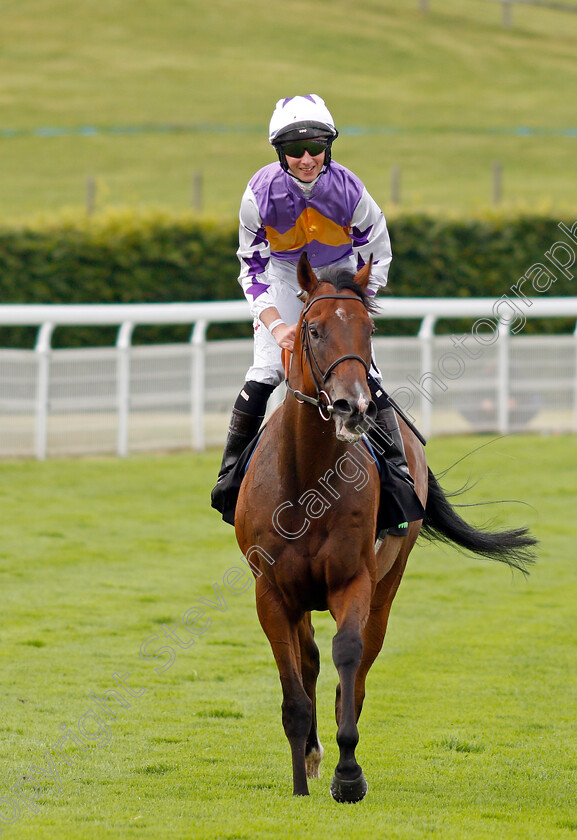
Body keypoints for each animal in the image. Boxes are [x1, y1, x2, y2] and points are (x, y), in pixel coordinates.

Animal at [233, 254, 536, 800]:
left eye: (368, 329)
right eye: (312, 329)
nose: (354, 406)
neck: (307, 482)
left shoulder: (356, 579)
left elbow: (349, 657)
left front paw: (348, 774)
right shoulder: (271, 591)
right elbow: (294, 688)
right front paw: (301, 781)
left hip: (388, 580)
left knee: (359, 661)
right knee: (309, 658)